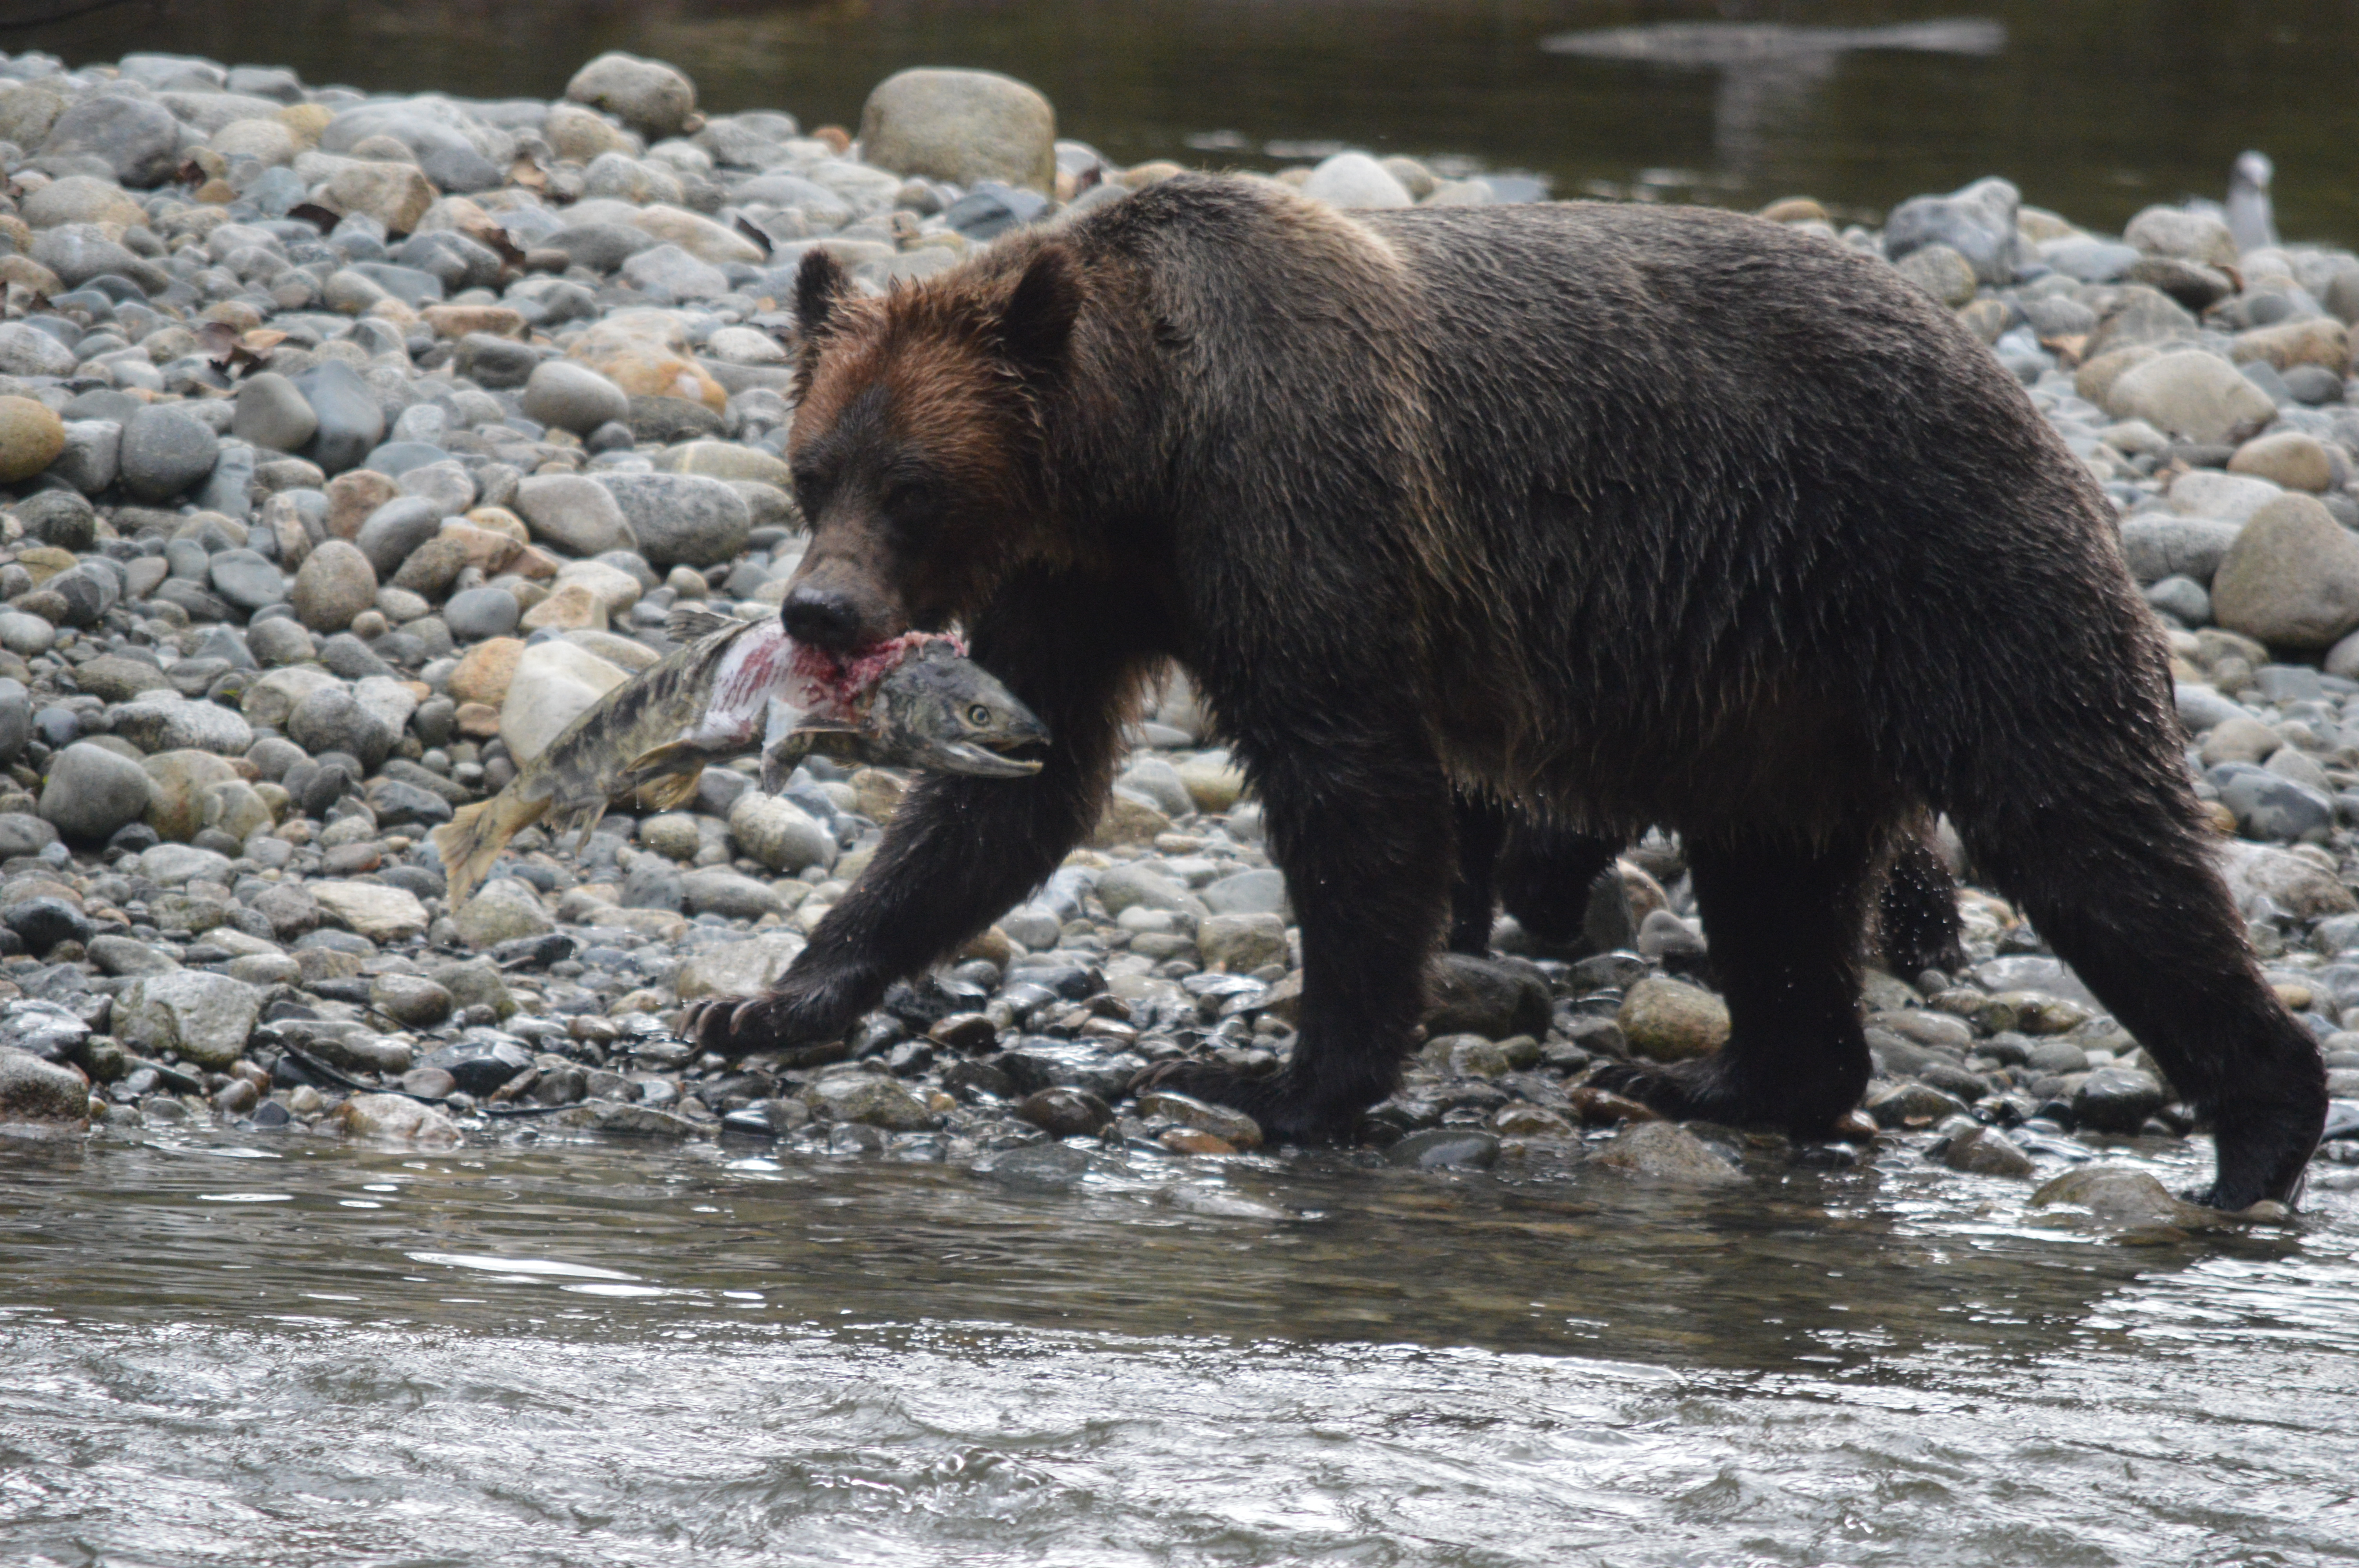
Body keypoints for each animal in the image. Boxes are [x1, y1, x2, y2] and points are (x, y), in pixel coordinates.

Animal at [682, 172, 2325, 1210]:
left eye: (912, 486)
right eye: (811, 469)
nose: (819, 605)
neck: (1135, 445)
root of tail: (2004, 374)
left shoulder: (1298, 510)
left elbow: (1352, 788)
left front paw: (1277, 1076)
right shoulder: (1084, 579)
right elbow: (1016, 785)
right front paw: (767, 994)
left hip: (1938, 566)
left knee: (2082, 824)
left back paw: (2255, 1129)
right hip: (1773, 690)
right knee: (1778, 880)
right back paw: (1723, 1087)